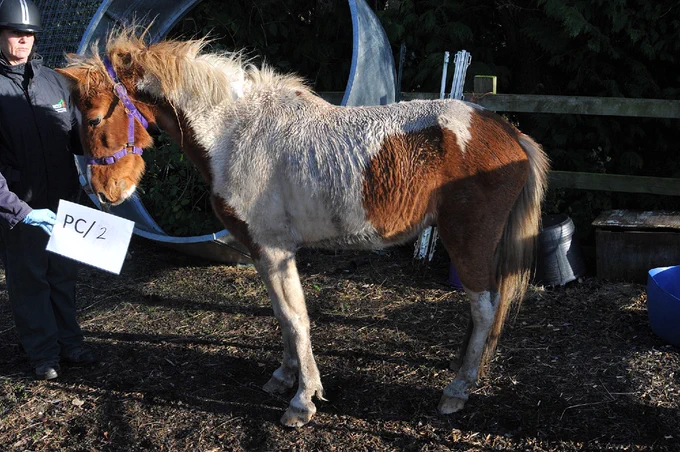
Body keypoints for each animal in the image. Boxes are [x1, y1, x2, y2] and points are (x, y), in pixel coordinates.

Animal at [57, 29, 550, 428]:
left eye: (95, 117)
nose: (105, 192)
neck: (234, 132)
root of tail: (508, 132)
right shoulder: (262, 252)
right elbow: (282, 315)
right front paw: (285, 376)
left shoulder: (275, 250)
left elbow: (297, 319)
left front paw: (302, 401)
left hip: (467, 241)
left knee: (485, 308)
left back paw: (456, 391)